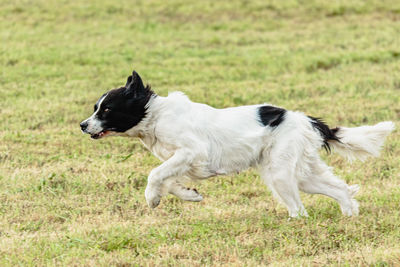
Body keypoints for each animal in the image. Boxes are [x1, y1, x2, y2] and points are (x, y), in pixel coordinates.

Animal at [80, 70, 394, 218]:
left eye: (106, 110)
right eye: (96, 108)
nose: (83, 125)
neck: (155, 114)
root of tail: (305, 120)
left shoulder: (191, 151)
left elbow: (155, 175)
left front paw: (151, 199)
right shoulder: (182, 161)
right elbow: (168, 180)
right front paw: (190, 195)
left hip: (280, 174)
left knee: (299, 209)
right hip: (297, 173)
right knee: (339, 189)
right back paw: (349, 215)